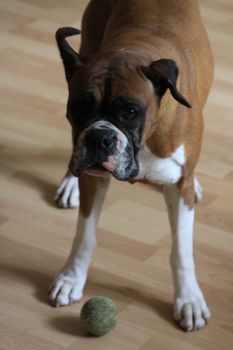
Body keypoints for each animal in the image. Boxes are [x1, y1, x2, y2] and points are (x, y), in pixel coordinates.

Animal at [49, 0, 213, 330]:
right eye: (79, 108)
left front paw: (189, 298)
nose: (100, 137)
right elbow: (85, 235)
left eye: (131, 111)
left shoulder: (180, 188)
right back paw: (70, 183)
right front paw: (72, 277)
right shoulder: (93, 177)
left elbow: (182, 251)